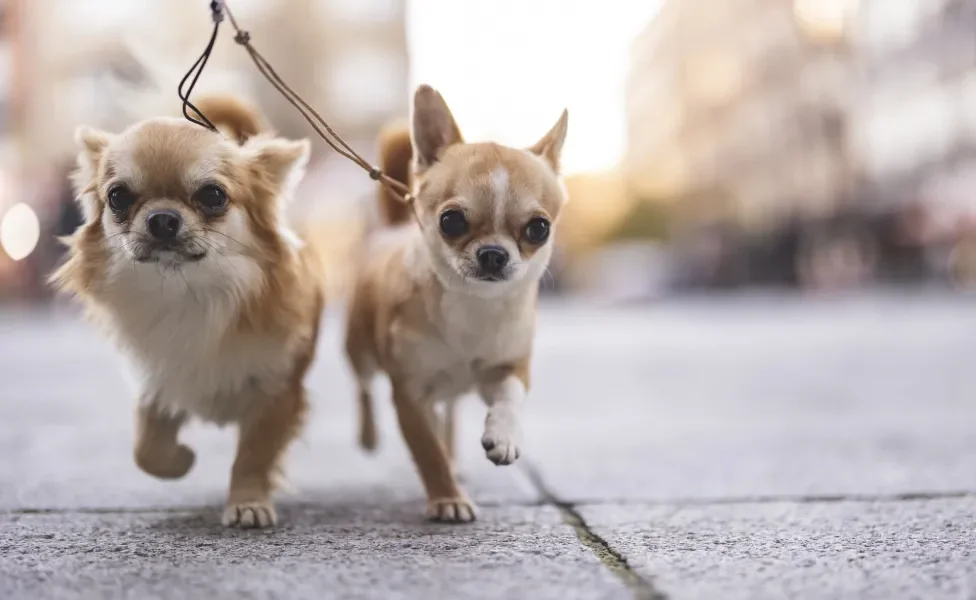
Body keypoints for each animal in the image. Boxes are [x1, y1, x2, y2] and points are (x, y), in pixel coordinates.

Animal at [50, 96, 320, 528]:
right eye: (118, 197)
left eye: (212, 195)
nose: (162, 218)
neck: (188, 293)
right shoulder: (160, 381)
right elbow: (146, 450)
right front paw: (180, 460)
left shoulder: (276, 391)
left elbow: (253, 456)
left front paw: (248, 502)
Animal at [346, 83, 568, 520]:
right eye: (451, 221)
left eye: (539, 228)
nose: (493, 254)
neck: (474, 304)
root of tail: (391, 228)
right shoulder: (409, 394)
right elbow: (426, 451)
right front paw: (447, 499)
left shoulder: (507, 368)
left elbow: (509, 399)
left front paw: (504, 436)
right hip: (359, 348)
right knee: (363, 385)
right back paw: (368, 434)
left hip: (446, 392)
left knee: (446, 415)